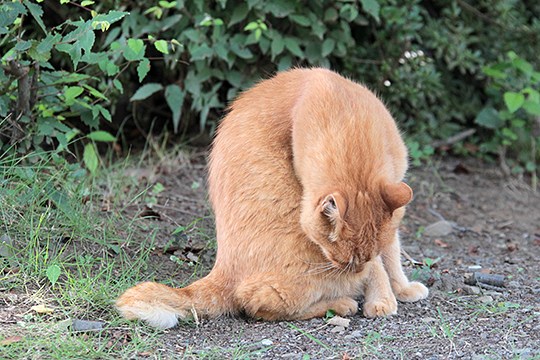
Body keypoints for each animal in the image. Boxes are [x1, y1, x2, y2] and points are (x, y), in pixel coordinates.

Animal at [117, 68, 430, 330]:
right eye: (343, 259)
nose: (352, 270)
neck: (348, 115)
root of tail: (222, 269)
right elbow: (380, 266)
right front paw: (382, 300)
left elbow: (391, 253)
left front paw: (401, 289)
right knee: (258, 304)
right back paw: (341, 304)